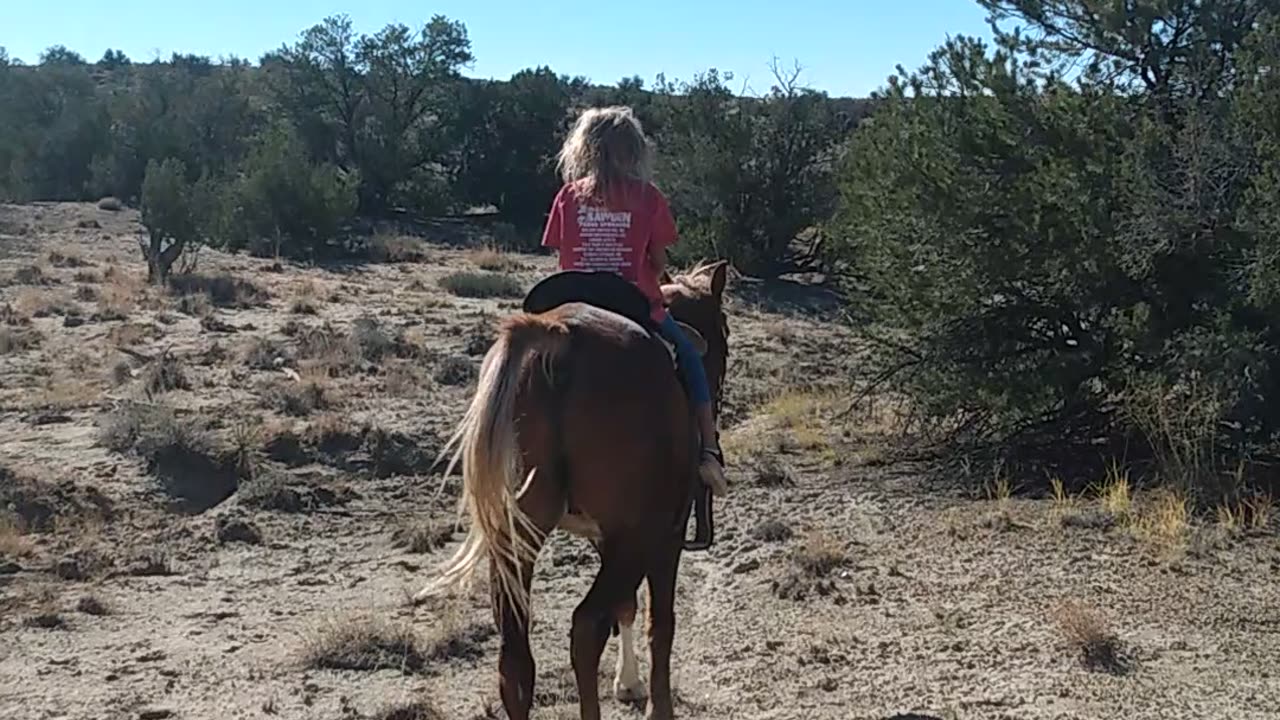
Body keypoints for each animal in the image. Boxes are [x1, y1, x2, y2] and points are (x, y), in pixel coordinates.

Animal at [412, 260, 732, 712]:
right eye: (725, 334)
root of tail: (557, 335)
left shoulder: (610, 540)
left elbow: (626, 606)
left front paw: (628, 682)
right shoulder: (662, 537)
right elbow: (659, 624)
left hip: (518, 538)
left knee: (515, 656)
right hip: (635, 534)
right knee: (586, 626)